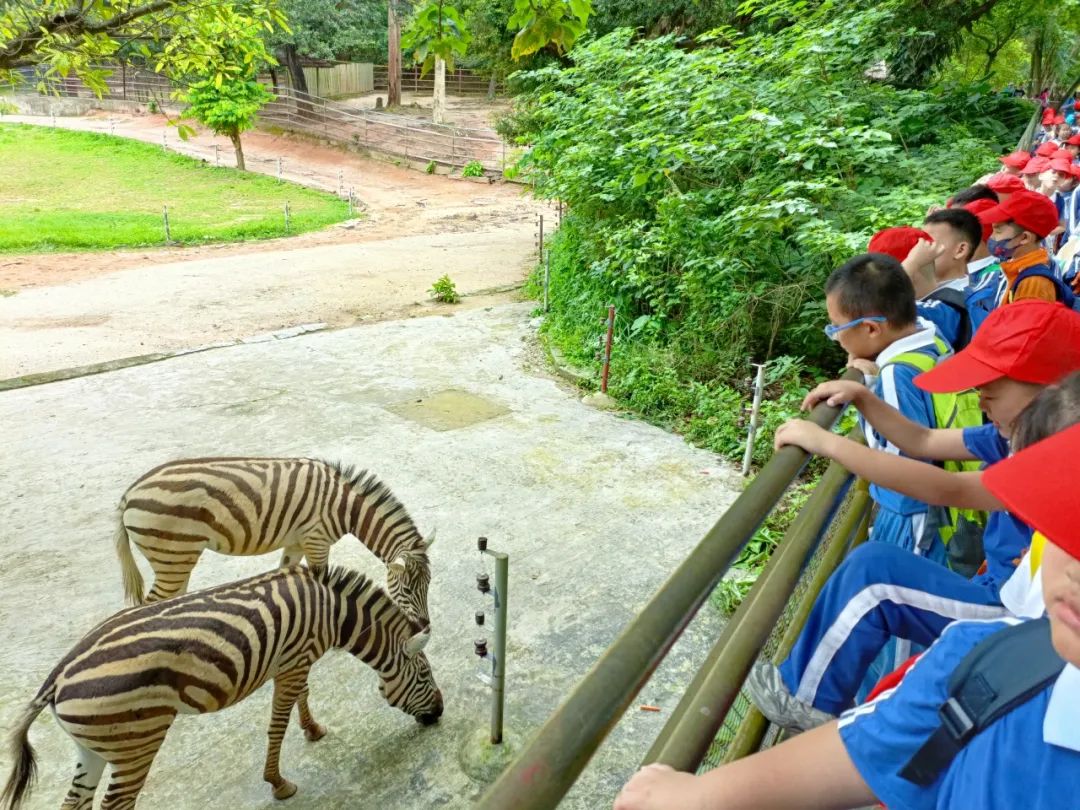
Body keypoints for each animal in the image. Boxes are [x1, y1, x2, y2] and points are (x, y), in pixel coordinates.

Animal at [1, 565, 442, 810]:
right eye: (424, 675)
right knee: (116, 804)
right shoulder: (295, 660)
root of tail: (56, 678)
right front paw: (279, 783)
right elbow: (277, 724)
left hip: (92, 749)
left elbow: (302, 697)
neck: (331, 611)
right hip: (135, 743)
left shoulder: (294, 662)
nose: (439, 713)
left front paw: (313, 729)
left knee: (75, 801)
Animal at [109, 457, 429, 626]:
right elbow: (321, 580)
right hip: (172, 556)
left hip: (175, 560)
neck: (344, 506)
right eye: (407, 589)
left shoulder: (297, 541)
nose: (425, 625)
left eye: (428, 586)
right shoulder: (316, 540)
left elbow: (286, 574)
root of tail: (129, 494)